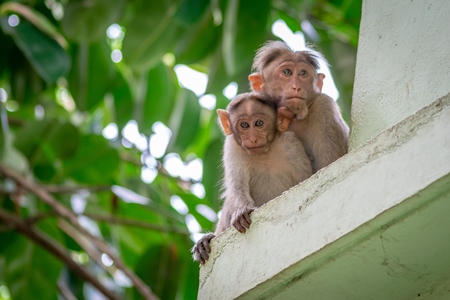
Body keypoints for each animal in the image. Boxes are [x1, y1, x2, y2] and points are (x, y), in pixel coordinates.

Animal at [192, 92, 312, 264]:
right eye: (244, 125)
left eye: (259, 123)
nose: (253, 138)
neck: (264, 153)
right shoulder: (232, 147)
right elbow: (237, 187)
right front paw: (242, 212)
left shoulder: (292, 145)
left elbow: (305, 178)